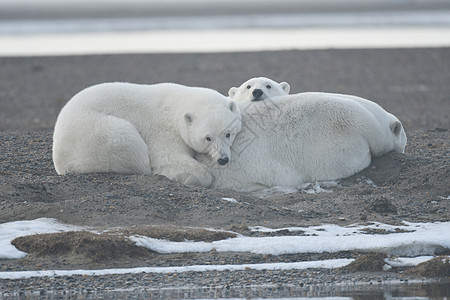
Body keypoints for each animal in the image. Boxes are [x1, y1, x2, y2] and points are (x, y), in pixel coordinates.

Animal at [51, 82, 243, 188]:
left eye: (228, 134)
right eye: (208, 138)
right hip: (95, 132)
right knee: (127, 141)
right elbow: (169, 160)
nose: (223, 159)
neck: (176, 106)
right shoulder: (163, 131)